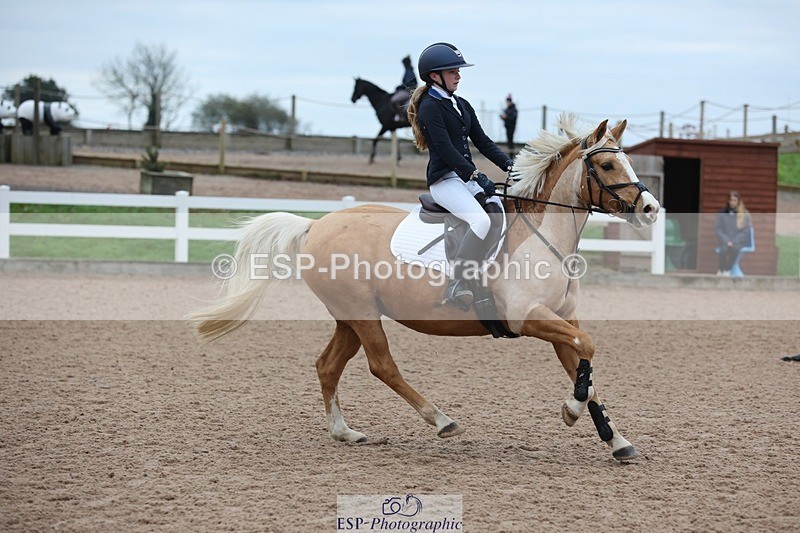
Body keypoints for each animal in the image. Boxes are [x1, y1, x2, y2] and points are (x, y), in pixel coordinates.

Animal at [189, 114, 661, 462]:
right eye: (607, 165)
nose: (651, 208)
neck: (543, 236)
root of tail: (315, 225)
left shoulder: (561, 320)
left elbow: (585, 364)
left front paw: (615, 440)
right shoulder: (529, 319)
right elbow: (588, 348)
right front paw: (571, 410)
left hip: (349, 317)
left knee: (328, 365)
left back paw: (345, 432)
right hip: (362, 315)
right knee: (382, 365)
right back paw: (440, 420)